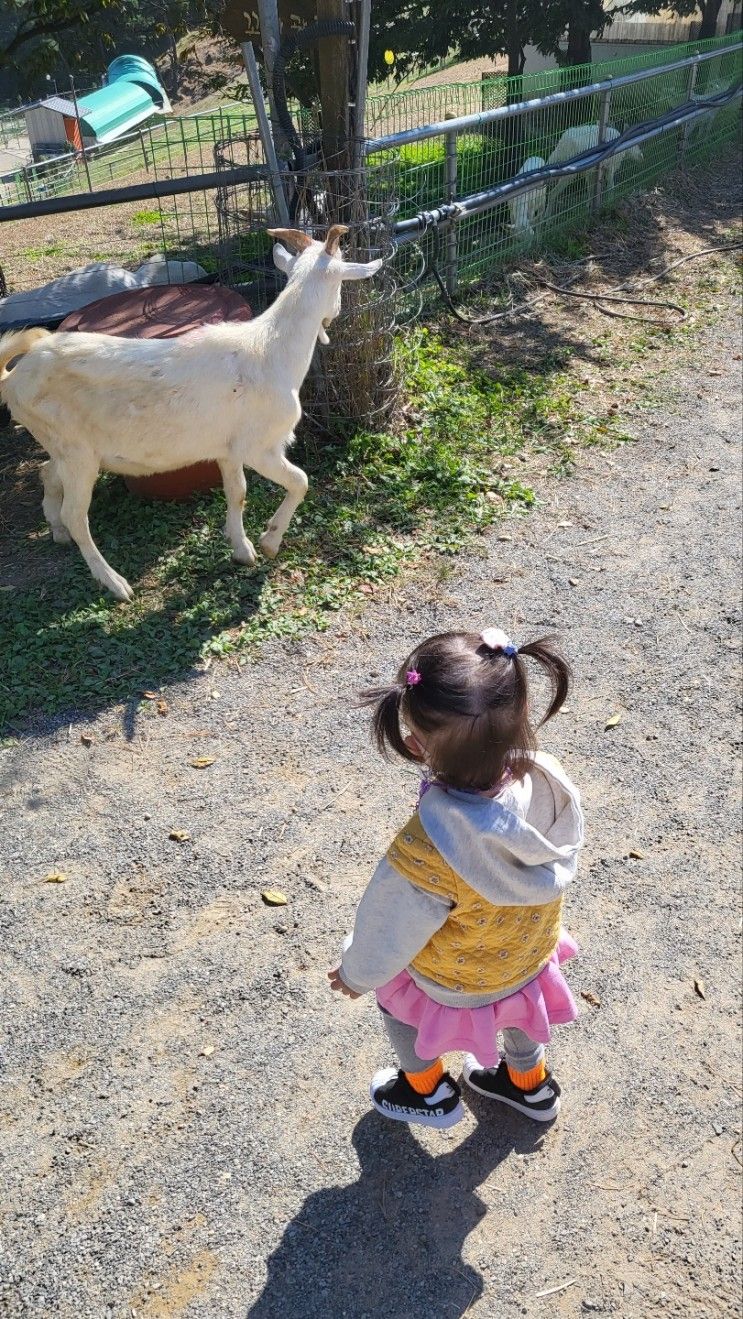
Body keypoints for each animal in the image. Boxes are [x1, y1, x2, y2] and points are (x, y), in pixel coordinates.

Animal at [0, 226, 380, 604]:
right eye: (341, 282)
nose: (334, 314)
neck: (270, 351)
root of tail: (14, 377)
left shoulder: (228, 449)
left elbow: (237, 491)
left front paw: (242, 550)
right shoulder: (260, 446)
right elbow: (300, 481)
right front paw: (269, 542)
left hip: (65, 447)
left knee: (46, 472)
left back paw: (57, 530)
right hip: (77, 452)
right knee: (77, 515)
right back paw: (115, 583)